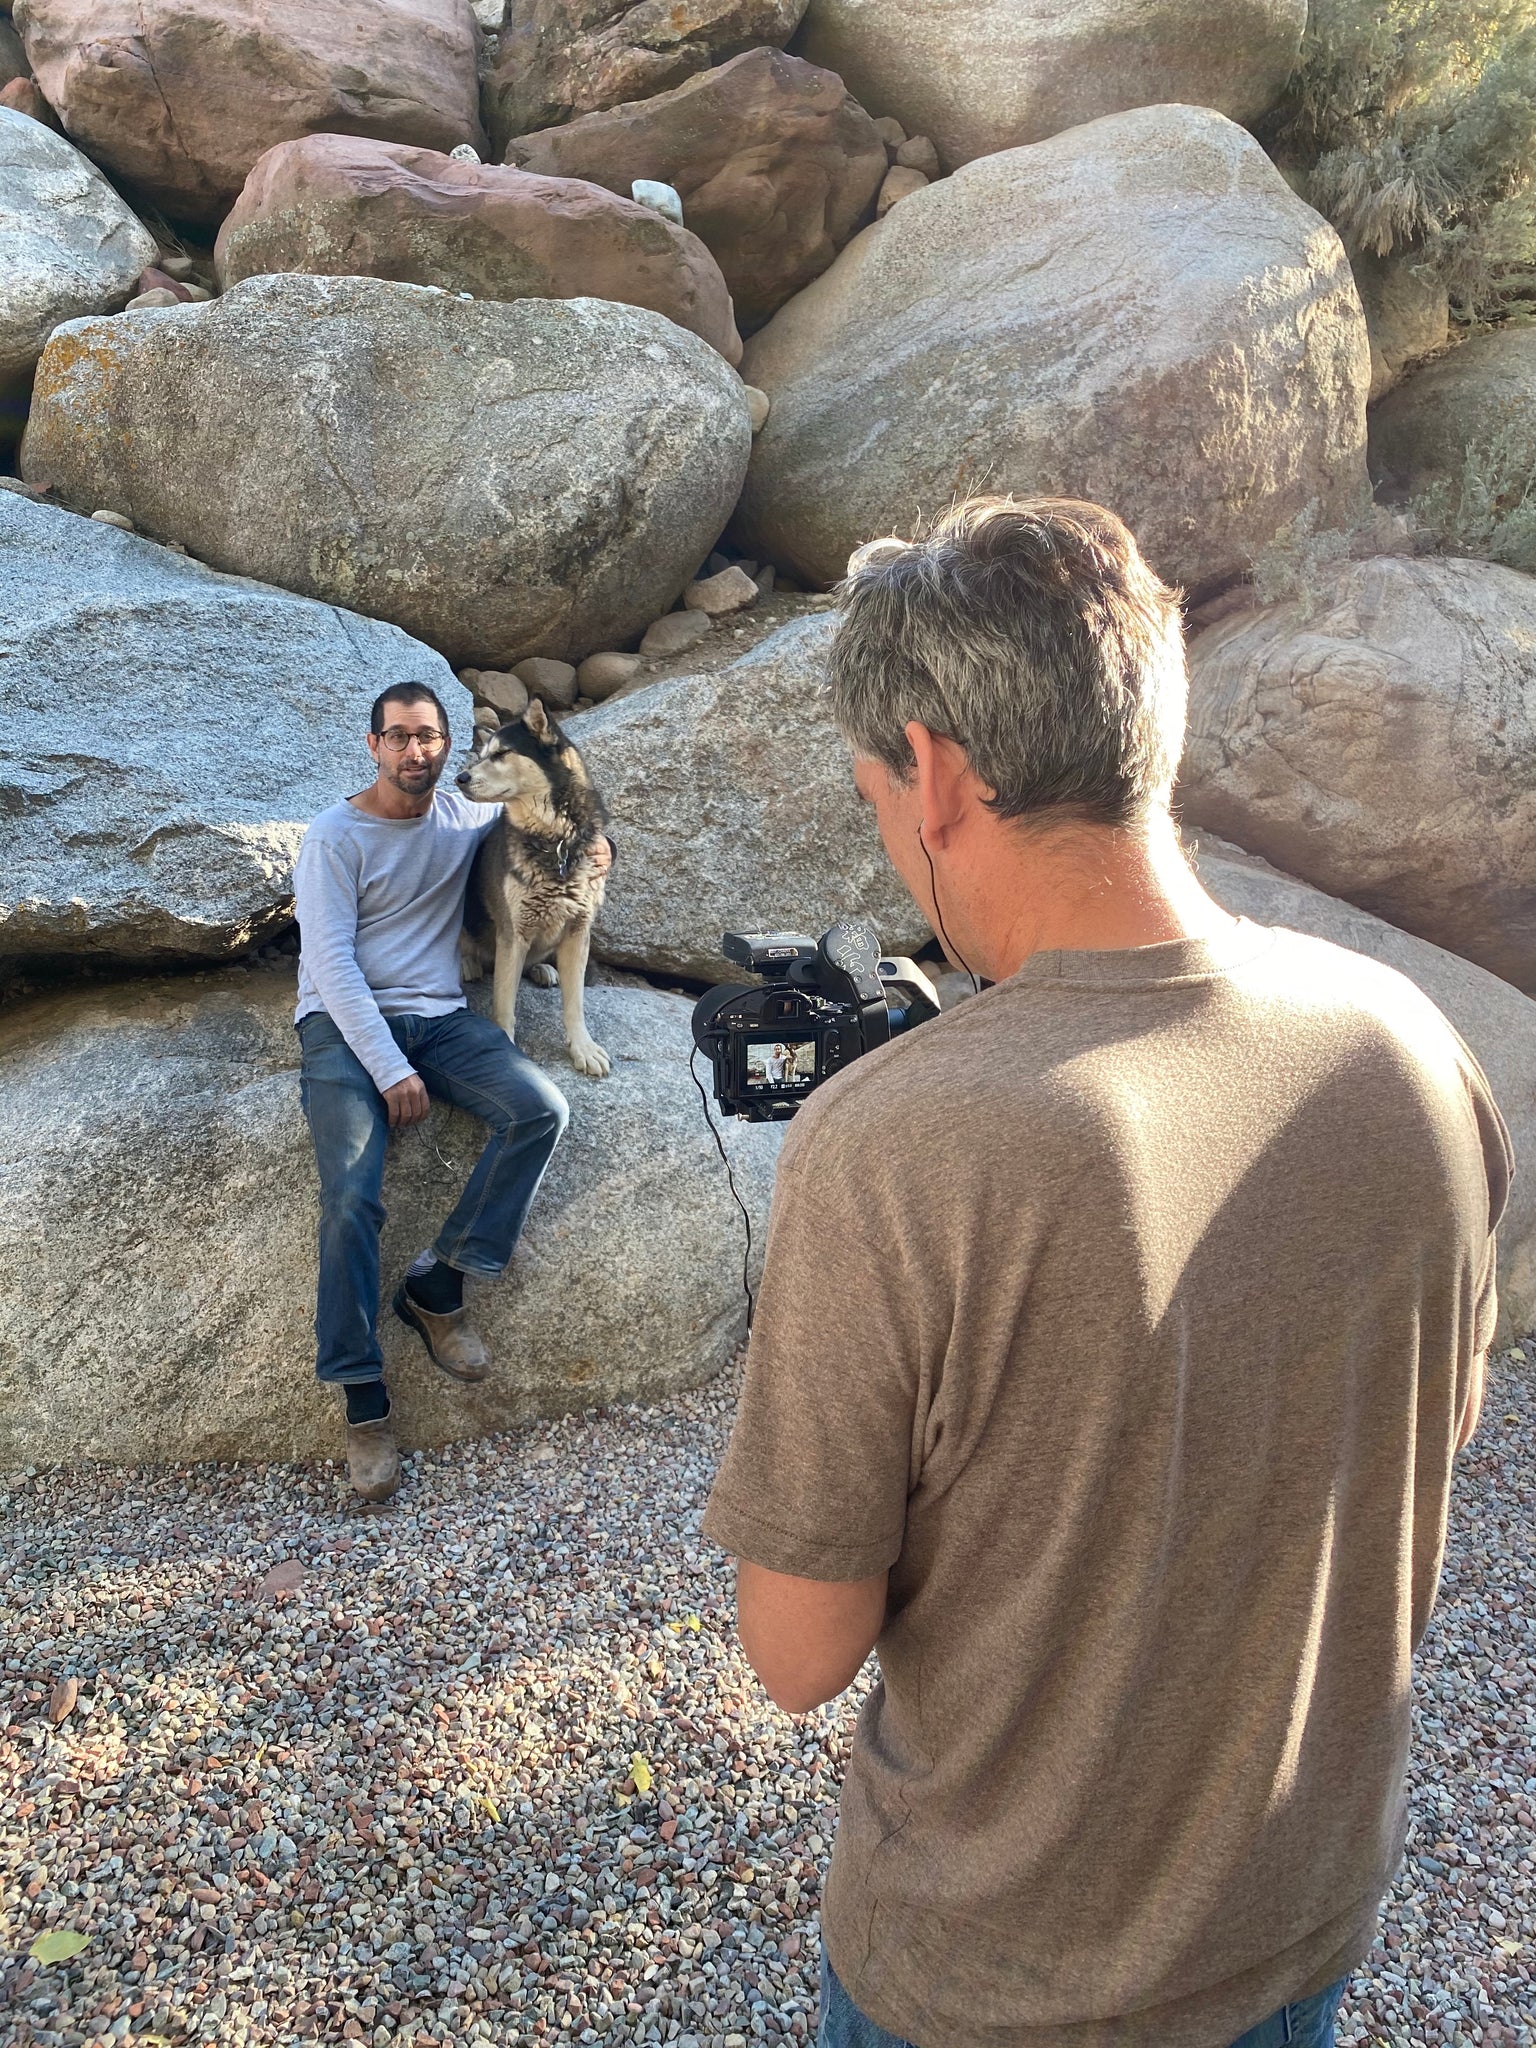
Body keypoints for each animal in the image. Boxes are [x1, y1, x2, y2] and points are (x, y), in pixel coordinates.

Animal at [456, 700, 614, 1081]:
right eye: (481, 754)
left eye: (502, 753)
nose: (460, 778)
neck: (554, 840)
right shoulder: (513, 934)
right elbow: (504, 1005)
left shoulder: (578, 931)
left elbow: (575, 1004)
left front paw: (582, 1047)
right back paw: (468, 962)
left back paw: (544, 969)